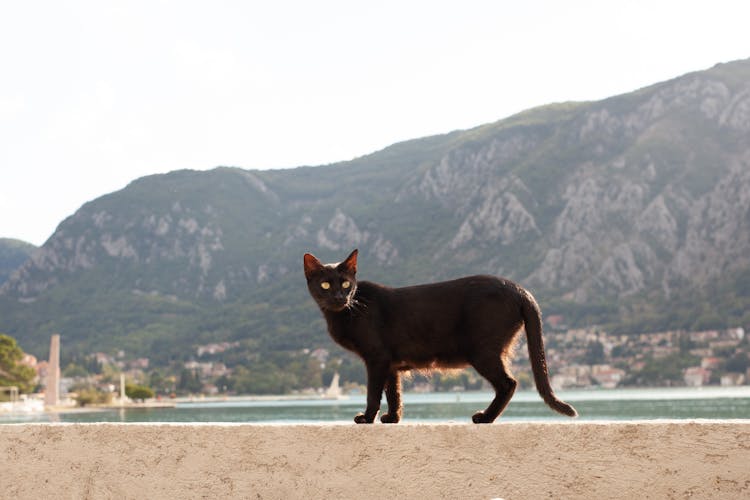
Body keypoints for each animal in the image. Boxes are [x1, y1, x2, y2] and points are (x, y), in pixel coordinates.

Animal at [302, 249, 580, 422]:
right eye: (325, 285)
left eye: (346, 283)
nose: (339, 297)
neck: (346, 311)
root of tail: (518, 288)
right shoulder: (390, 364)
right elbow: (394, 393)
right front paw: (392, 418)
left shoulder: (376, 358)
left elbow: (373, 392)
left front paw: (368, 418)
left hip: (483, 352)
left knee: (508, 383)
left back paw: (485, 418)